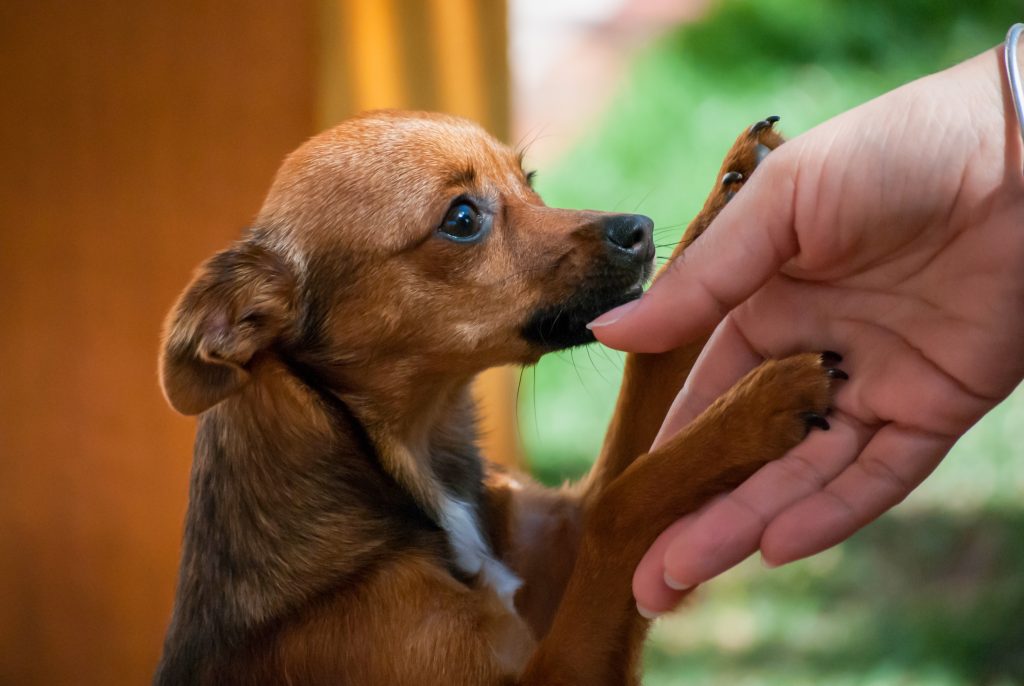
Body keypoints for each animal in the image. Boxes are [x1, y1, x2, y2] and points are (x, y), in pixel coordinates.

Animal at [151, 110, 839, 683]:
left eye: (528, 180)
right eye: (461, 219)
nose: (639, 230)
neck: (418, 467)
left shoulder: (561, 542)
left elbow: (653, 362)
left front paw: (735, 187)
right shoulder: (558, 670)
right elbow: (623, 504)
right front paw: (760, 408)